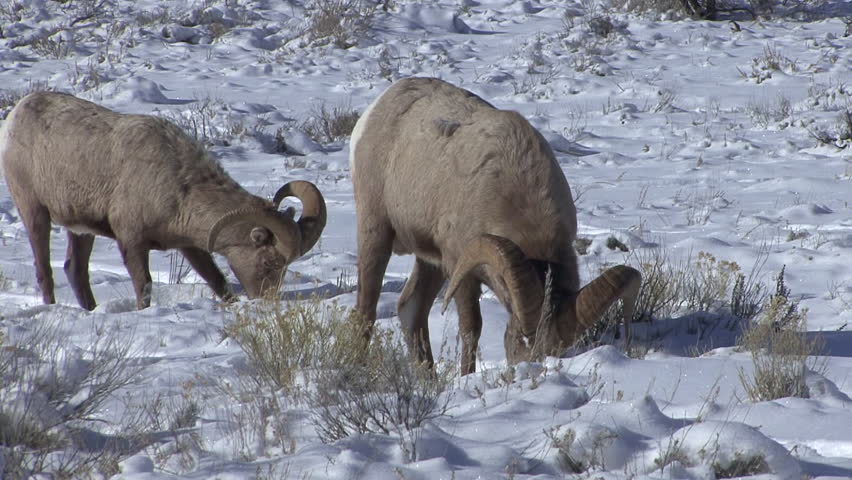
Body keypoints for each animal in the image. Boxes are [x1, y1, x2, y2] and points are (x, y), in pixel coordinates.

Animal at [0, 91, 326, 310]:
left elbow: (217, 281)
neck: (179, 187)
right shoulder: (131, 241)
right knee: (45, 269)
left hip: (81, 231)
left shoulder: (190, 247)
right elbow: (143, 287)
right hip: (35, 213)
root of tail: (16, 114)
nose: (267, 301)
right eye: (270, 261)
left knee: (75, 270)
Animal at [349, 77, 641, 374]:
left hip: (429, 261)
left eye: (560, 351)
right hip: (376, 232)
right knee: (365, 311)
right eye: (525, 338)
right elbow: (471, 329)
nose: (528, 366)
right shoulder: (460, 267)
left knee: (410, 310)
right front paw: (466, 376)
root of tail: (379, 106)